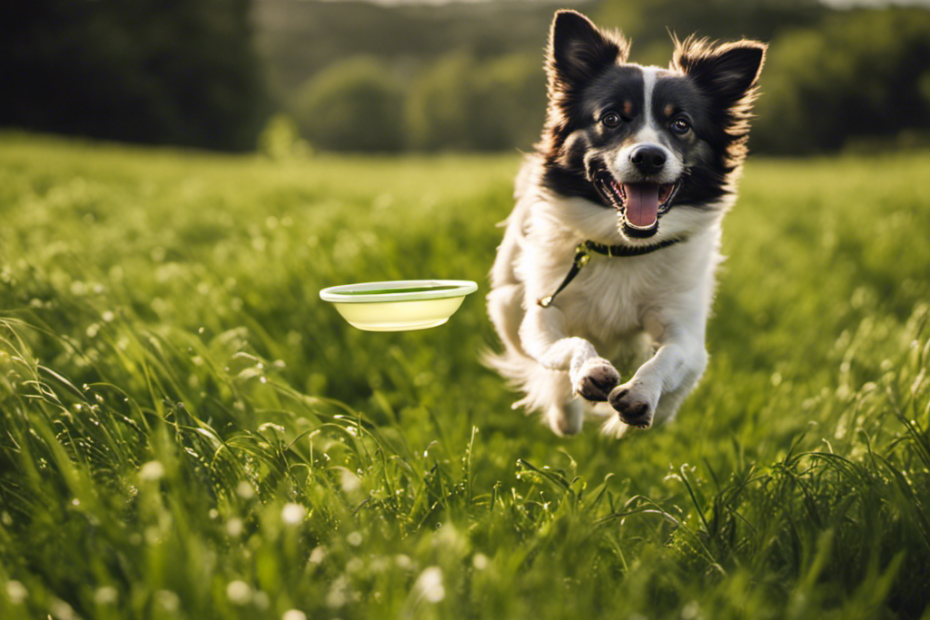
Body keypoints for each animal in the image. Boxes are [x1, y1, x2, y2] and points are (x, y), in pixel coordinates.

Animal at [482, 8, 764, 436]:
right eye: (612, 118)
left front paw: (643, 395)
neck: (622, 246)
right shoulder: (543, 312)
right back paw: (566, 411)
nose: (648, 157)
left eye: (681, 124)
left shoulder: (684, 327)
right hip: (506, 299)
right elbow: (565, 346)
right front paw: (586, 374)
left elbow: (672, 358)